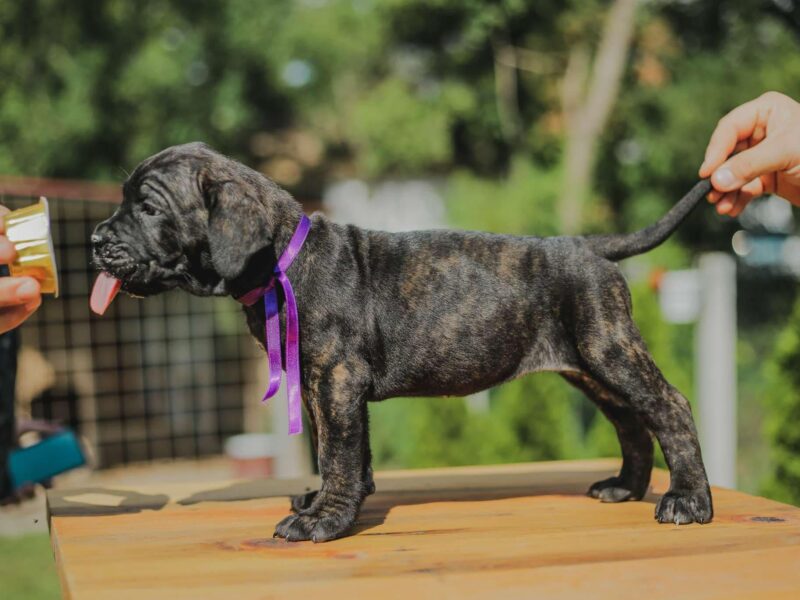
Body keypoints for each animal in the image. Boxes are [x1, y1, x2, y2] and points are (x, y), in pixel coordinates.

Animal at [92, 143, 712, 540]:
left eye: (148, 207)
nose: (95, 239)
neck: (283, 260)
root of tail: (589, 246)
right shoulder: (320, 384)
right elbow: (346, 453)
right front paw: (327, 503)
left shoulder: (335, 379)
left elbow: (336, 451)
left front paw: (323, 520)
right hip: (586, 365)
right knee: (631, 420)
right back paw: (626, 488)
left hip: (608, 348)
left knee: (670, 406)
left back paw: (687, 501)